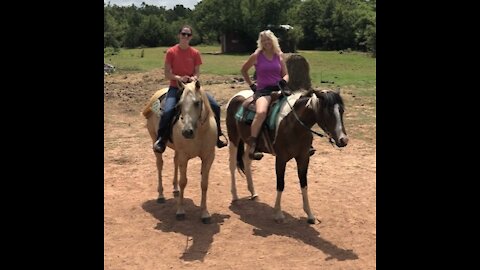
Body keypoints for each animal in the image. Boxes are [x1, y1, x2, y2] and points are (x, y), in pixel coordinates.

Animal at [142, 79, 217, 224]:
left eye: (197, 103)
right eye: (179, 105)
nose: (187, 132)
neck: (199, 133)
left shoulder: (208, 157)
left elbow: (204, 184)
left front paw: (204, 213)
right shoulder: (184, 156)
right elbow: (184, 182)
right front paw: (180, 211)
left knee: (175, 161)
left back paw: (175, 189)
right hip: (154, 139)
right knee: (159, 165)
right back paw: (161, 195)